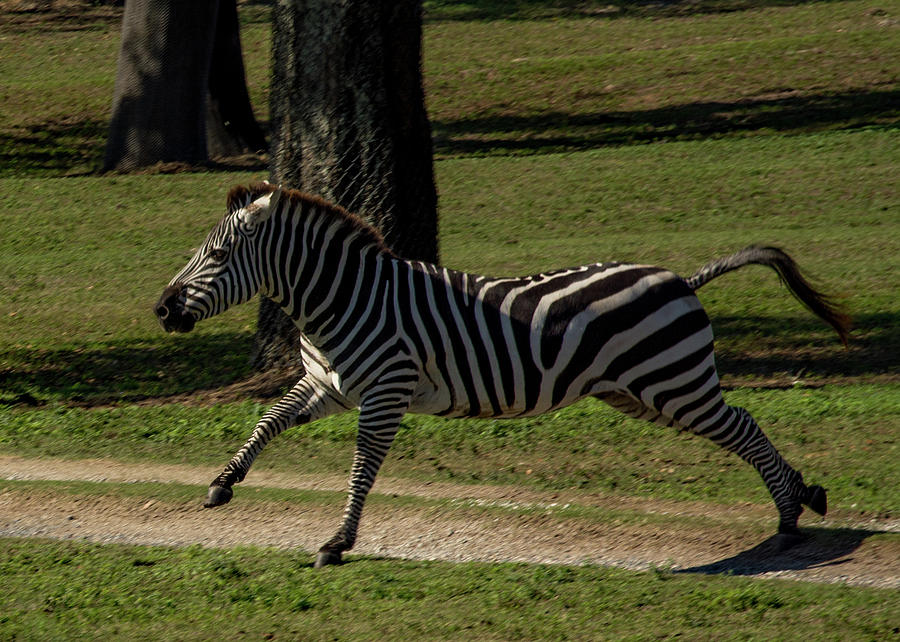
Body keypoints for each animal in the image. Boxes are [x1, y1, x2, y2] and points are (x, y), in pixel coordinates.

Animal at [156, 181, 852, 564]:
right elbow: (268, 419)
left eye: (218, 255)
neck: (345, 300)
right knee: (738, 424)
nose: (162, 309)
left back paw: (791, 511)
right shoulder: (328, 386)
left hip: (673, 385)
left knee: (743, 424)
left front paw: (338, 542)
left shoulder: (384, 391)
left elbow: (360, 468)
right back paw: (800, 500)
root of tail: (681, 278)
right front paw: (223, 482)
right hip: (641, 392)